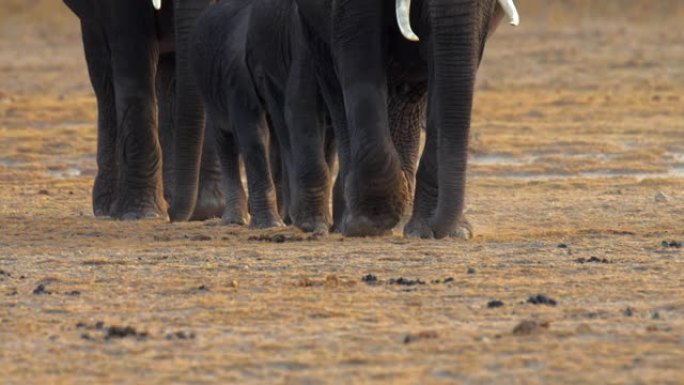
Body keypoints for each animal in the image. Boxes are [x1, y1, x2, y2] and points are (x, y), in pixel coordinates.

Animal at [62, 0, 223, 219]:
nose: (173, 214)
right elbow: (133, 56)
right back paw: (108, 207)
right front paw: (141, 214)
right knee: (103, 75)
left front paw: (210, 210)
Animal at [191, 0, 336, 232]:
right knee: (225, 137)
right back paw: (235, 221)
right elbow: (253, 133)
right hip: (207, 84)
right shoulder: (235, 75)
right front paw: (269, 226)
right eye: (259, 73)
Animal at [296, 0, 520, 237]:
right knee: (333, 84)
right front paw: (372, 222)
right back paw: (350, 222)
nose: (437, 229)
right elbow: (360, 46)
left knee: (408, 96)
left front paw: (438, 230)